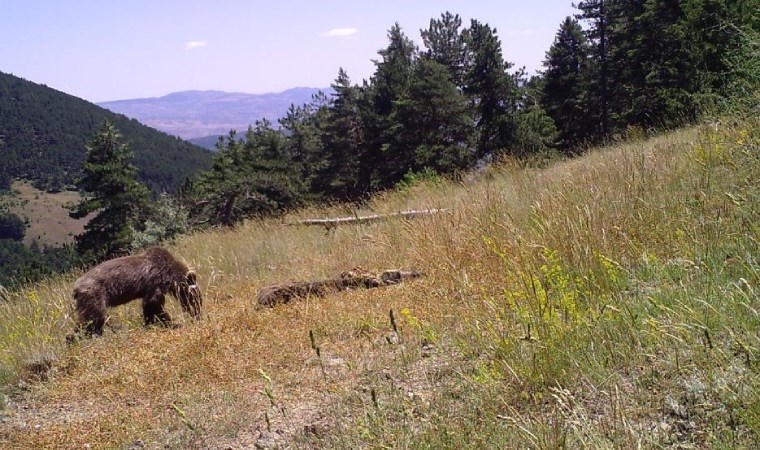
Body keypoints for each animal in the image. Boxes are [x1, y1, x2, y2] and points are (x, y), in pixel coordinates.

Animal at [71, 246, 200, 338]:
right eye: (195, 298)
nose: (197, 314)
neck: (170, 275)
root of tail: (76, 287)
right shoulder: (156, 282)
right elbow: (154, 304)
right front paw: (170, 322)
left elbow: (150, 306)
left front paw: (151, 322)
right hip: (95, 294)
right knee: (93, 319)